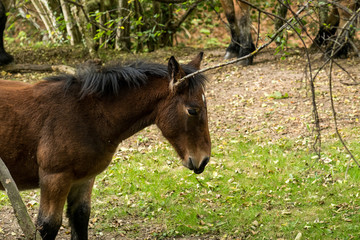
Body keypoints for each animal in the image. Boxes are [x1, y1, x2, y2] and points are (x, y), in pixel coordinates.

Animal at [0, 53, 211, 240]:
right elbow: (48, 226)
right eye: (193, 110)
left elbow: (80, 219)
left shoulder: (83, 179)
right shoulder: (54, 178)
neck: (85, 114)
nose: (203, 160)